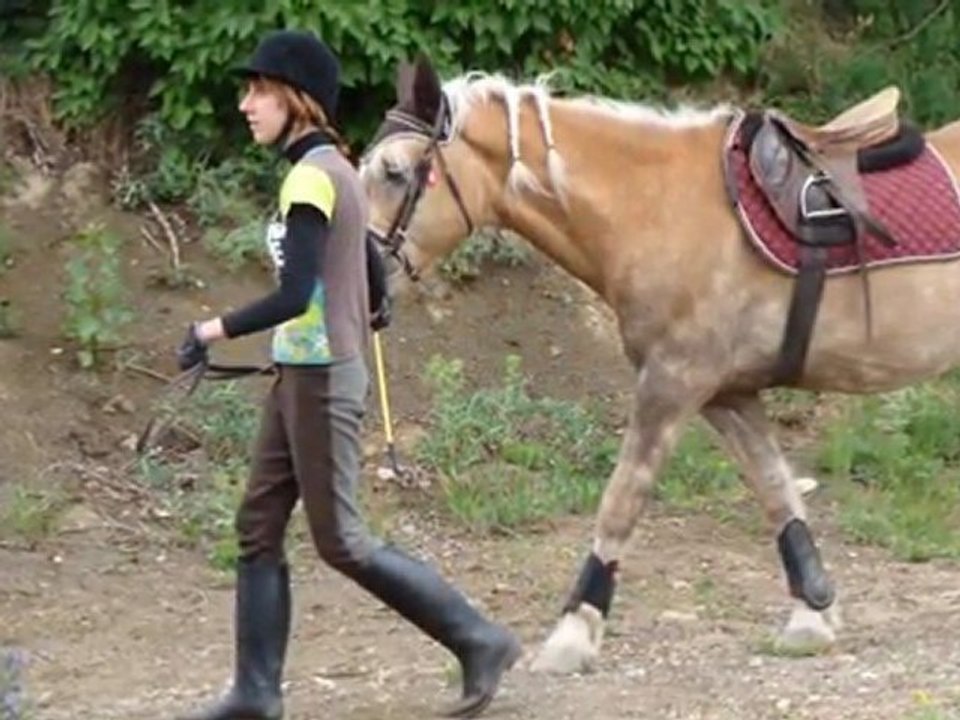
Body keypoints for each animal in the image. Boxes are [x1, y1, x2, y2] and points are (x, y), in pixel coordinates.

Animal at [357, 55, 960, 675]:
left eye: (395, 172)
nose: (364, 277)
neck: (659, 209)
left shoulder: (672, 384)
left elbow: (621, 501)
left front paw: (574, 631)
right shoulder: (727, 394)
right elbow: (777, 491)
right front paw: (811, 615)